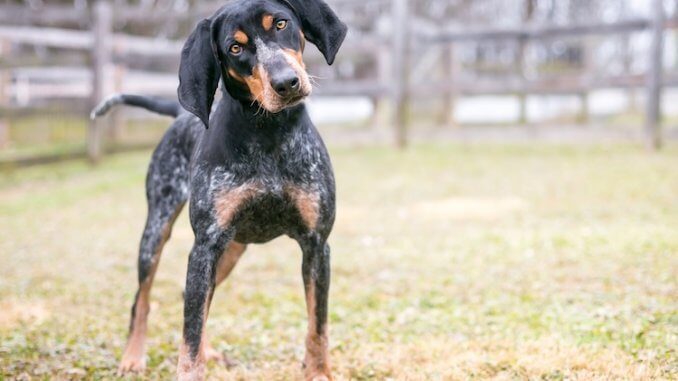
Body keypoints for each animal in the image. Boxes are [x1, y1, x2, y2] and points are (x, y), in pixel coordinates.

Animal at [91, 1, 346, 378]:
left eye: (281, 24)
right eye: (235, 48)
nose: (286, 83)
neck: (269, 133)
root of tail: (180, 114)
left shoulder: (317, 246)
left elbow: (318, 326)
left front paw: (317, 372)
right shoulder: (205, 247)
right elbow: (189, 338)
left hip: (231, 250)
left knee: (191, 301)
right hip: (157, 234)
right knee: (145, 300)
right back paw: (133, 357)